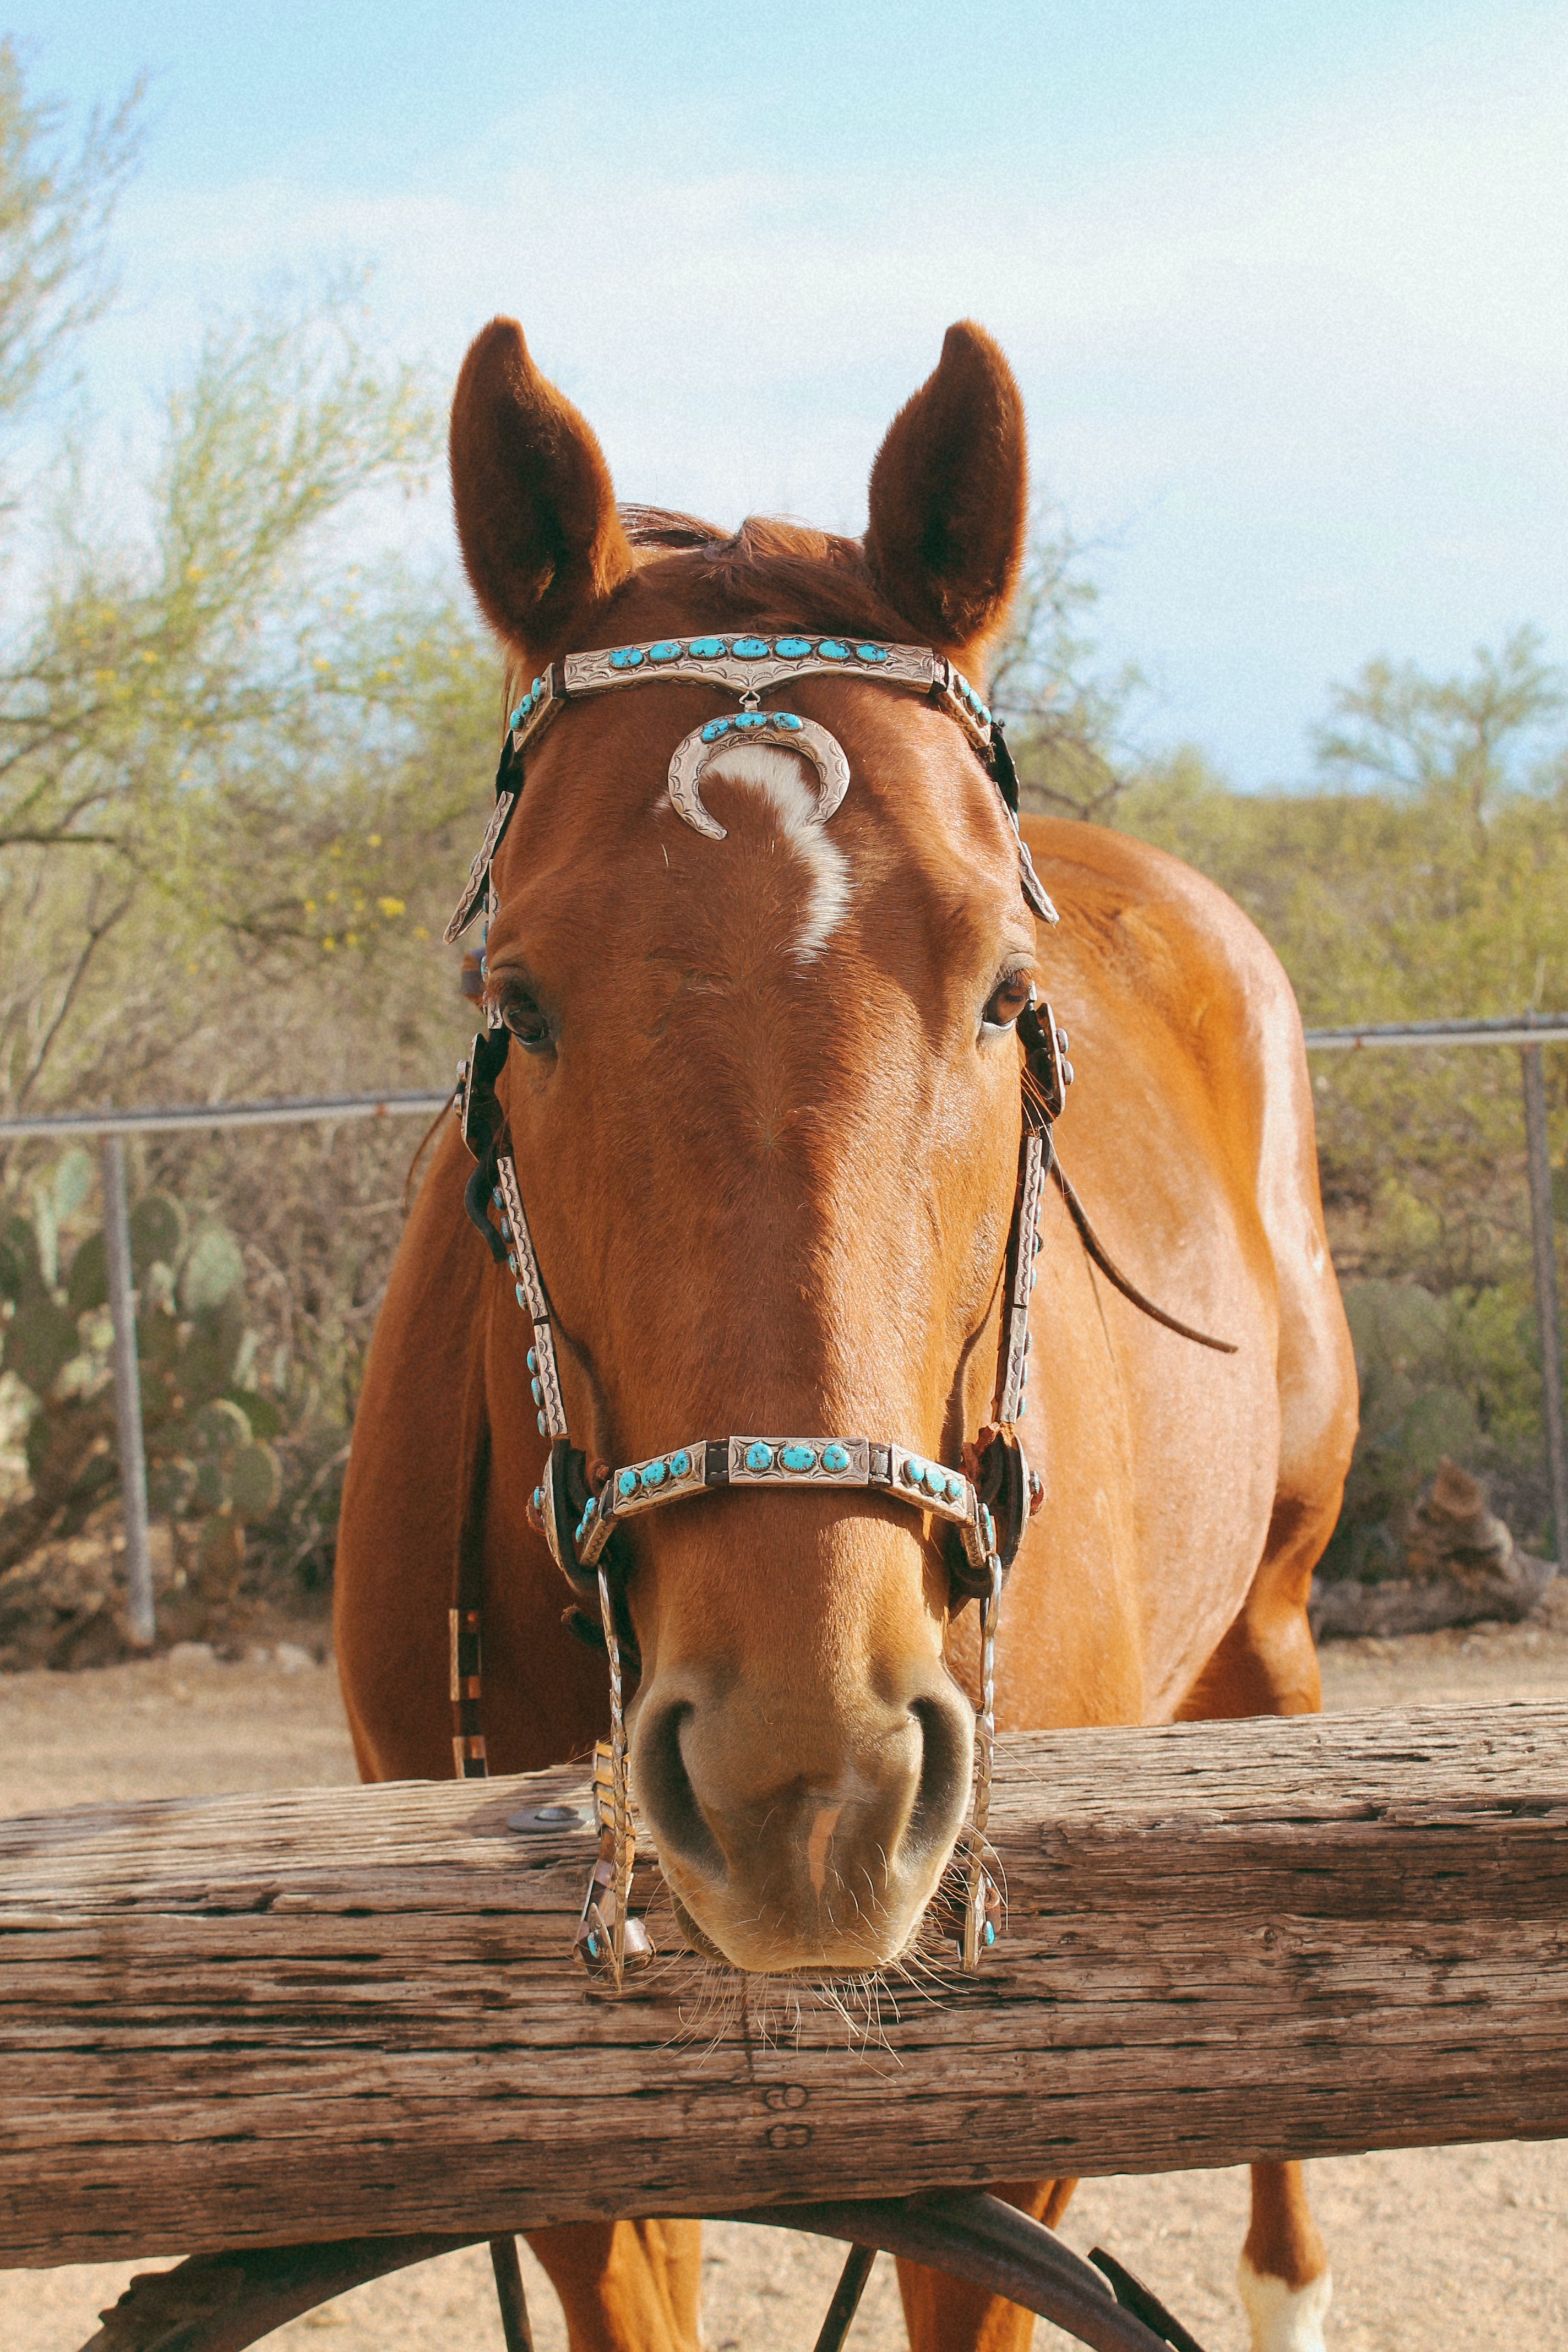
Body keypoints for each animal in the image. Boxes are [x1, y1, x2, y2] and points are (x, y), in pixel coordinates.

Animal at [334, 314, 1358, 2352]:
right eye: (518, 996)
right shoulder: (564, 2152)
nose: (805, 1782)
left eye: (1004, 994)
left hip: (1273, 1615)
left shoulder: (1002, 2157)